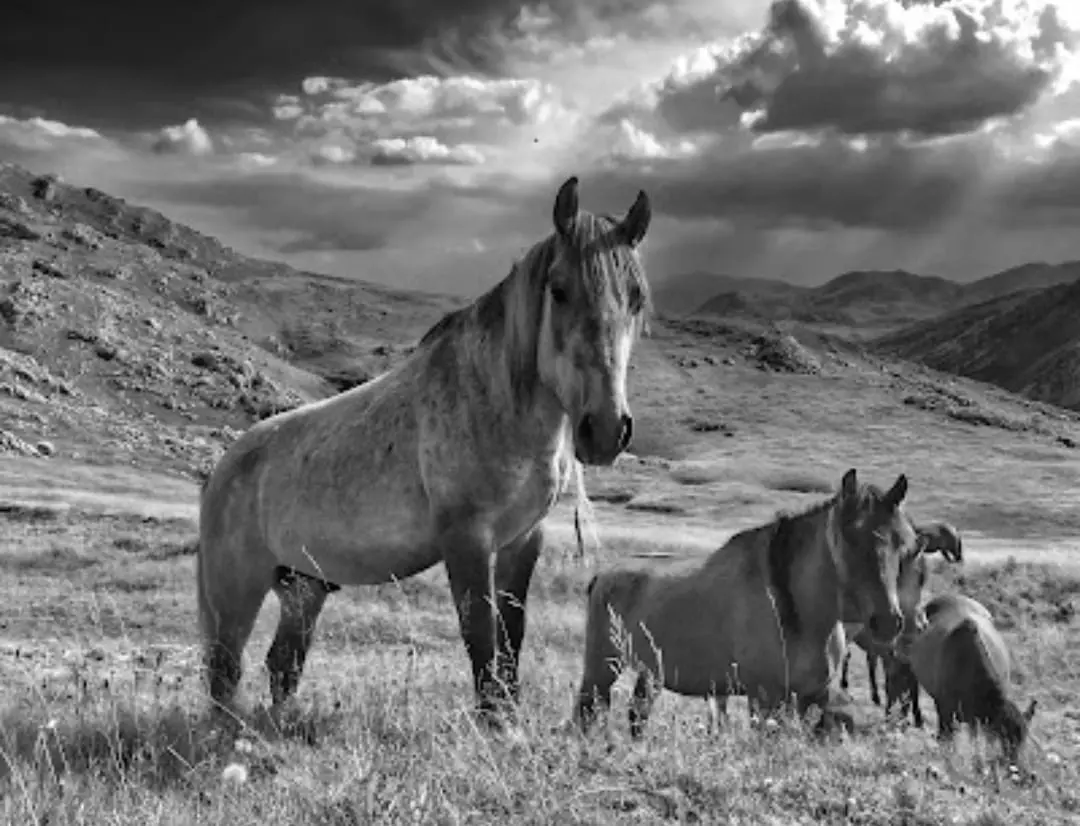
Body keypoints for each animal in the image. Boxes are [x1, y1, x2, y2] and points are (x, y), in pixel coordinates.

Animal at [195, 175, 652, 721]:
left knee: (282, 665)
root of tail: (225, 467)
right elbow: (480, 636)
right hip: (237, 588)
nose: (605, 429)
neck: (495, 402)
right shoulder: (466, 540)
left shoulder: (523, 540)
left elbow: (510, 635)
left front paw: (510, 715)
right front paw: (496, 724)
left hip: (304, 588)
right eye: (559, 290)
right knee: (225, 670)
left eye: (637, 299)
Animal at [574, 466, 920, 738]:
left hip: (650, 674)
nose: (888, 622)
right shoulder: (764, 698)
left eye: (904, 545)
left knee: (637, 715)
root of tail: (602, 575)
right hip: (602, 669)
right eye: (850, 539)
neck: (792, 607)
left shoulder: (811, 696)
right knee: (588, 712)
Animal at [885, 591, 1036, 760]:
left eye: (1024, 740)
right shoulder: (944, 707)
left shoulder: (975, 717)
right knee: (908, 690)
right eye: (1003, 737)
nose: (1014, 764)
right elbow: (946, 737)